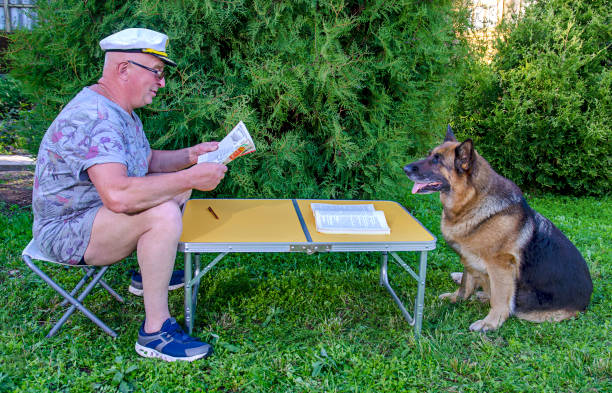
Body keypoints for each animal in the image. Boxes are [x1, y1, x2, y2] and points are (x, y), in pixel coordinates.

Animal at [404, 125, 592, 330]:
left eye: (437, 160)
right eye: (430, 155)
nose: (405, 168)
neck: (472, 201)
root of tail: (586, 303)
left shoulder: (500, 266)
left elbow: (499, 299)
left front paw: (490, 323)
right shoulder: (468, 257)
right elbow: (465, 284)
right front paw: (456, 298)